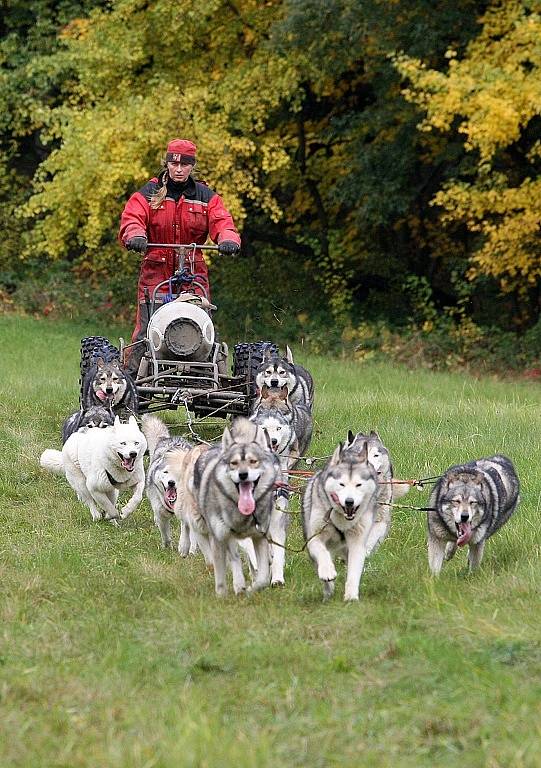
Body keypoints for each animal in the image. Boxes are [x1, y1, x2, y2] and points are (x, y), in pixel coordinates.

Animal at [141, 414, 196, 552]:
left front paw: (186, 548)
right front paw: (167, 547)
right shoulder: (161, 512)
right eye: (165, 472)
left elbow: (187, 532)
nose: (171, 483)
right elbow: (165, 534)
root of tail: (169, 439)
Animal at [192, 416, 278, 596]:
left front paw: (252, 588)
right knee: (234, 557)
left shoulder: (259, 537)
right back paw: (238, 584)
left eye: (253, 461)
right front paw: (223, 596)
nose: (243, 474)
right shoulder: (218, 538)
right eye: (234, 463)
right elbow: (221, 578)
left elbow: (263, 578)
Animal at [302, 444, 378, 600]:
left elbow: (354, 570)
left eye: (358, 485)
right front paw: (327, 572)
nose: (349, 501)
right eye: (341, 484)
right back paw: (328, 589)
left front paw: (351, 596)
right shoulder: (314, 537)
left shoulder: (357, 542)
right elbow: (322, 553)